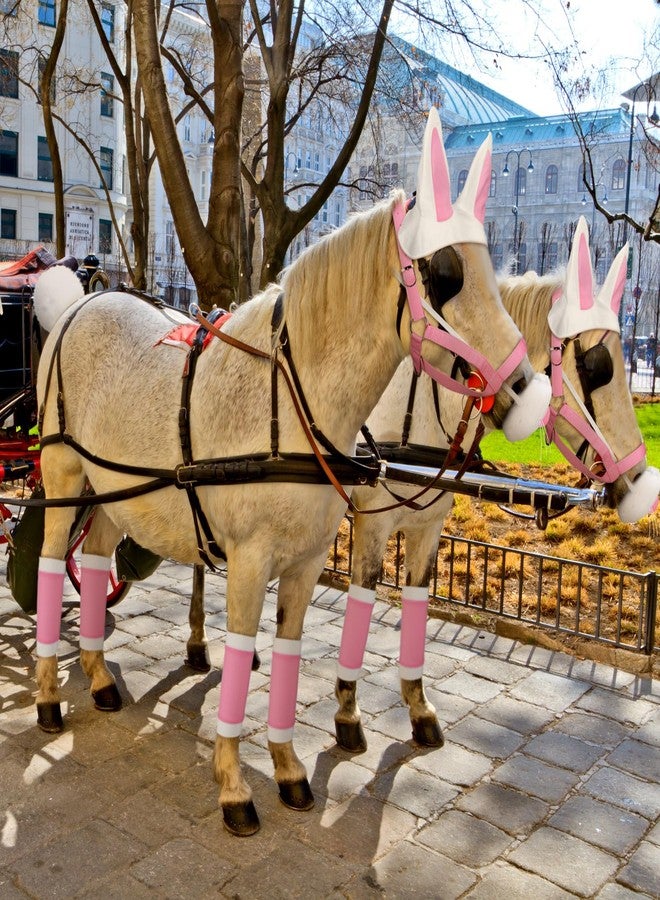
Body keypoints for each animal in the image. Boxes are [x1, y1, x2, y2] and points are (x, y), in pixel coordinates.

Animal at [32, 108, 549, 836]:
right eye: (445, 272)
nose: (528, 392)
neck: (294, 401)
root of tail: (80, 302)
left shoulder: (305, 562)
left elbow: (287, 653)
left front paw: (286, 768)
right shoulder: (251, 561)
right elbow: (240, 655)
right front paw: (232, 785)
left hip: (116, 490)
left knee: (99, 555)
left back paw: (100, 677)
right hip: (61, 473)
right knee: (54, 566)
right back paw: (50, 695)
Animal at [331, 215, 660, 753]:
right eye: (597, 367)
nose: (639, 482)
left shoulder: (427, 529)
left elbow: (417, 599)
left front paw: (418, 706)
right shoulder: (373, 524)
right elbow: (362, 594)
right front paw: (346, 711)